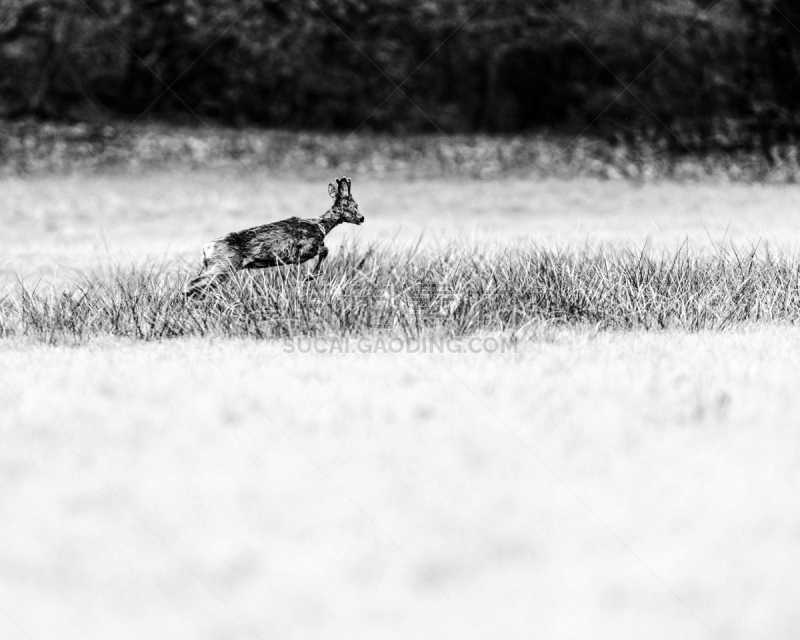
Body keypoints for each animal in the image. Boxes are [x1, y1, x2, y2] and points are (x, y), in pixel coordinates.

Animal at [184, 175, 362, 296]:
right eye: (352, 206)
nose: (362, 218)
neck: (320, 226)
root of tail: (206, 249)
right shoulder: (303, 251)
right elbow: (325, 250)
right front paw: (309, 277)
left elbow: (325, 250)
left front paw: (310, 276)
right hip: (224, 265)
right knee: (193, 284)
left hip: (215, 266)